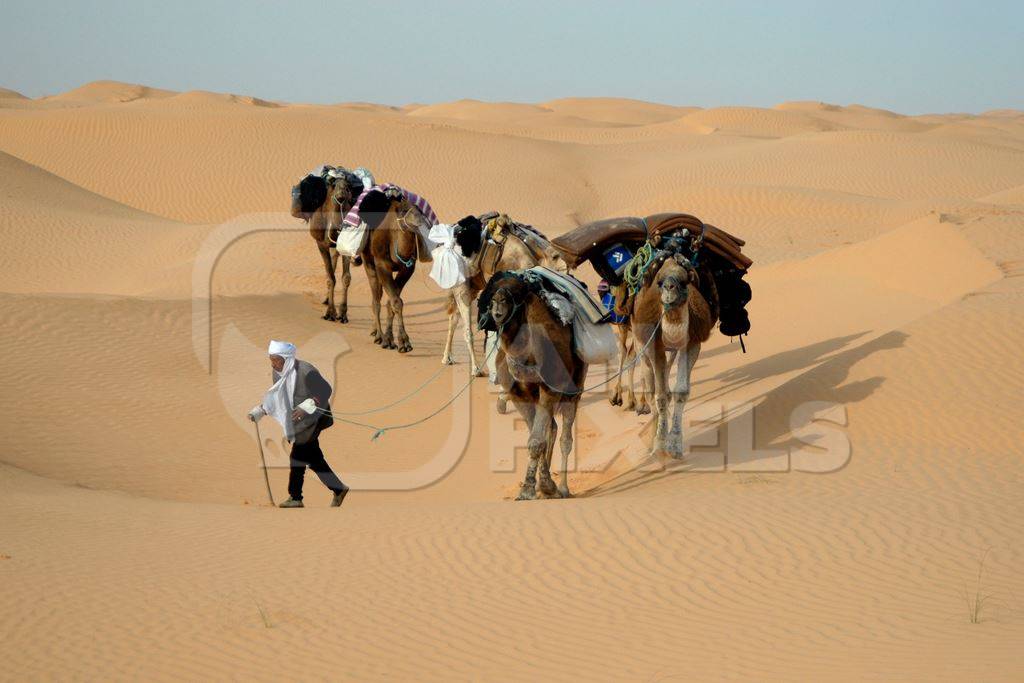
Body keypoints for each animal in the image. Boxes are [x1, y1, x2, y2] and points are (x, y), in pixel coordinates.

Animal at [288, 167, 356, 323]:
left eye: (348, 188)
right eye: (334, 186)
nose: (341, 196)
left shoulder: (345, 246)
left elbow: (346, 278)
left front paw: (343, 314)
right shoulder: (321, 244)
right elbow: (330, 278)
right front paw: (330, 313)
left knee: (334, 261)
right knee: (330, 269)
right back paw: (326, 301)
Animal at [323, 184, 428, 352]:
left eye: (420, 210)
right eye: (404, 210)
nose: (419, 220)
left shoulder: (407, 269)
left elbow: (393, 301)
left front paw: (393, 338)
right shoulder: (382, 266)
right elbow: (395, 301)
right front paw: (401, 342)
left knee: (378, 296)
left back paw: (375, 331)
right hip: (369, 261)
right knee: (375, 298)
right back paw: (379, 335)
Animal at [479, 272, 585, 501]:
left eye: (516, 293)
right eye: (492, 295)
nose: (498, 304)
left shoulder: (549, 390)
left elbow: (537, 441)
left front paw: (532, 489)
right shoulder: (519, 396)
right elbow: (536, 438)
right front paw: (540, 486)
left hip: (574, 389)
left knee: (565, 438)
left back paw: (564, 488)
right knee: (552, 428)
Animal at [626, 250, 716, 458]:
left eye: (685, 281)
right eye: (659, 282)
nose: (669, 287)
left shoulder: (692, 344)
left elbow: (680, 392)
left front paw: (674, 445)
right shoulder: (655, 346)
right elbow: (659, 395)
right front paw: (659, 444)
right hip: (641, 345)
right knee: (649, 384)